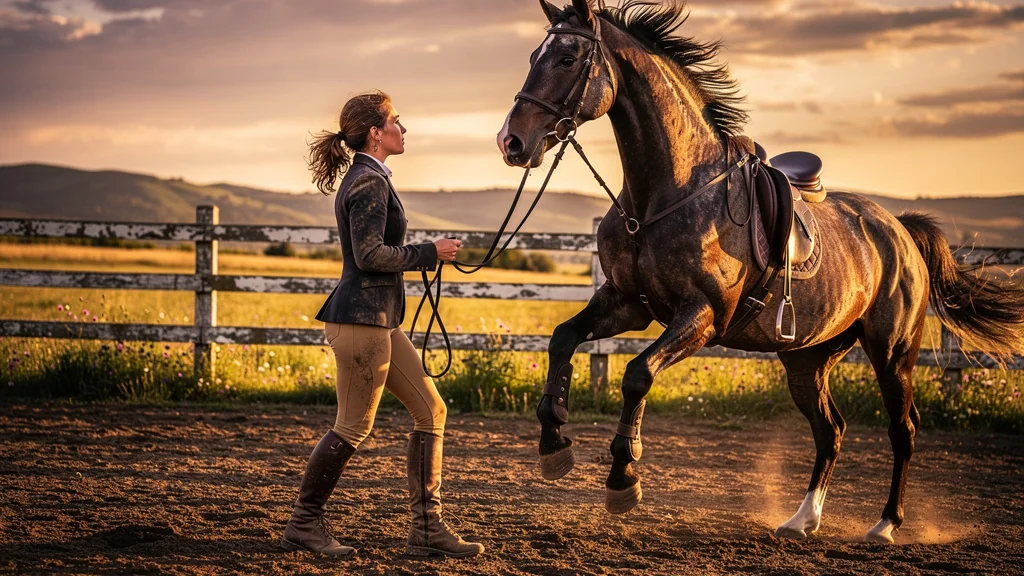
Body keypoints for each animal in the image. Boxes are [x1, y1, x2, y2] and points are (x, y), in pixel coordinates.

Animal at [496, 0, 1024, 543]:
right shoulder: (626, 304)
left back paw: (884, 525)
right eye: (535, 55)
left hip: (891, 353)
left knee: (903, 430)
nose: (511, 142)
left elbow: (637, 374)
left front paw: (624, 477)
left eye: (567, 58)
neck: (668, 196)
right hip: (808, 359)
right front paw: (554, 445)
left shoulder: (702, 317)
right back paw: (801, 520)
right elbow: (562, 339)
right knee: (830, 431)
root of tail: (899, 231)